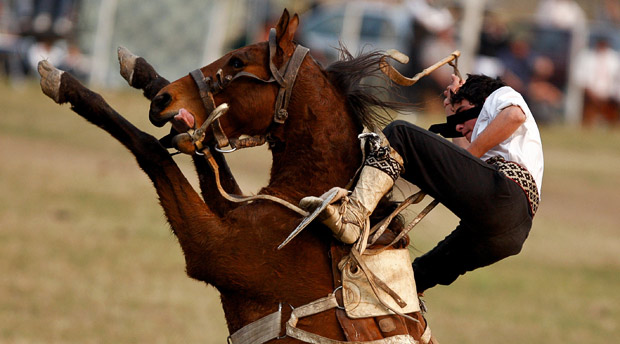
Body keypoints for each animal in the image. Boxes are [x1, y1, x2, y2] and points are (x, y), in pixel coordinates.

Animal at [37, 9, 436, 342]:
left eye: (237, 61)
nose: (163, 101)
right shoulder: (231, 211)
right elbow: (208, 156)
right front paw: (142, 71)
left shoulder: (211, 248)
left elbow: (151, 149)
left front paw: (66, 84)